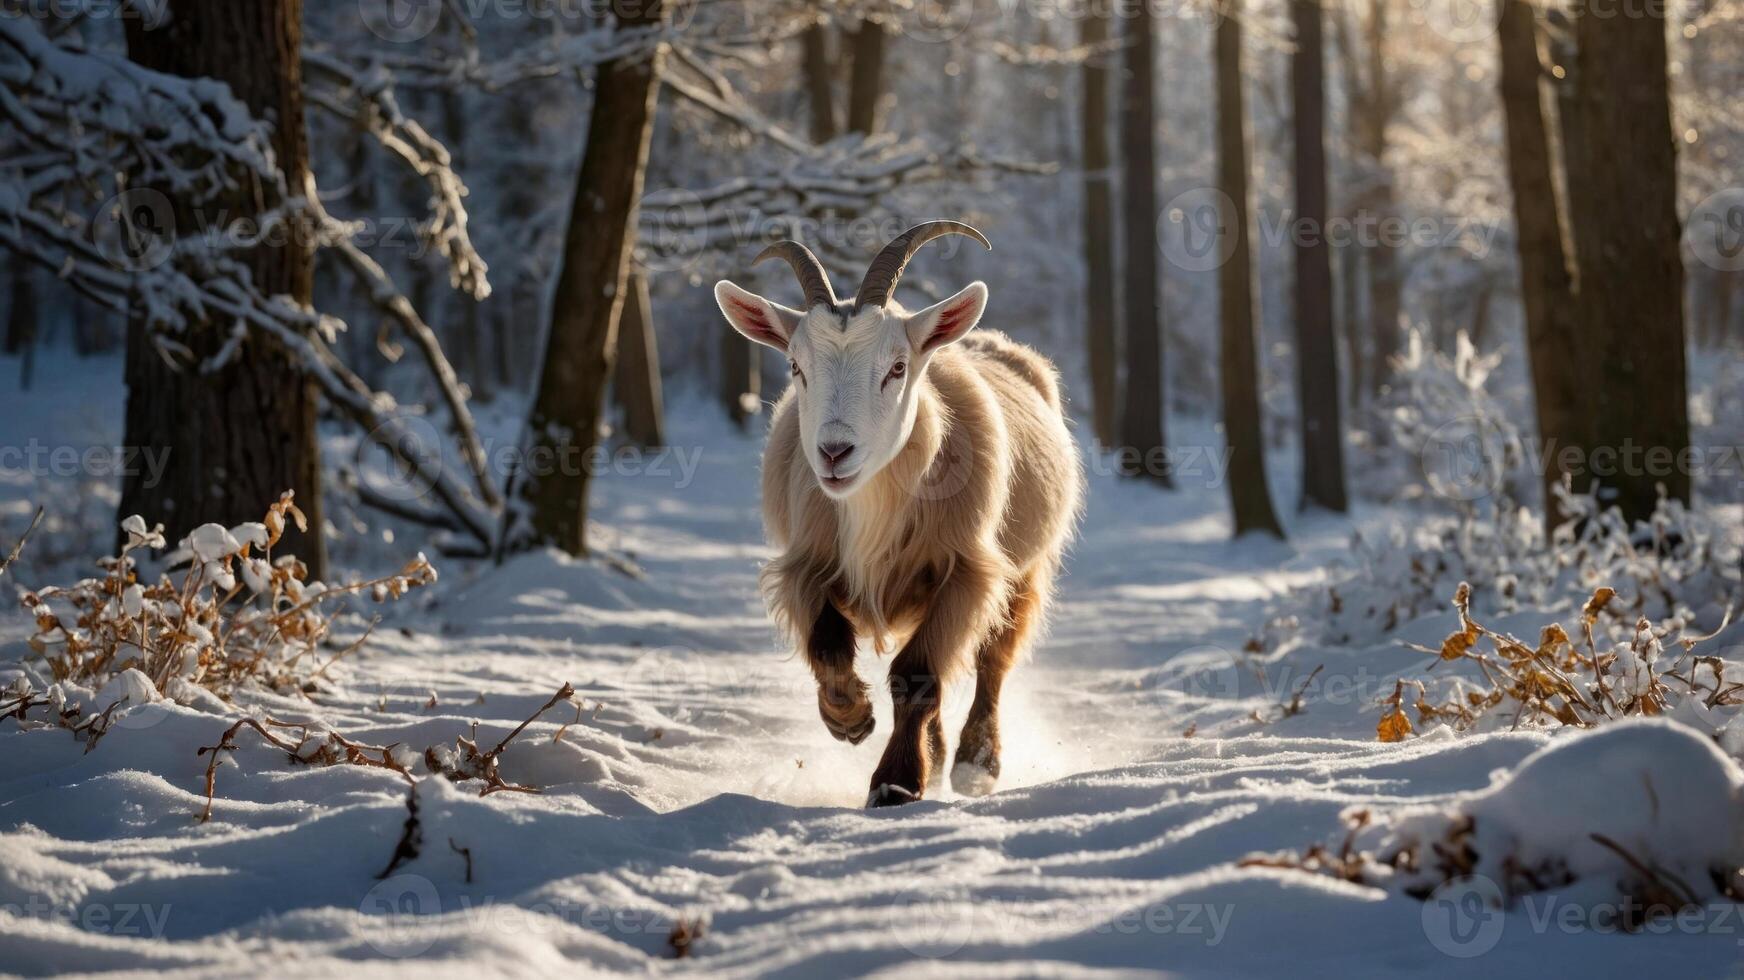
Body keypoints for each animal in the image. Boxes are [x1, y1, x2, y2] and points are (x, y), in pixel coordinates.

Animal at [714, 221, 1083, 807]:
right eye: (796, 366)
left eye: (896, 367)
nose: (834, 452)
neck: (871, 503)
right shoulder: (807, 561)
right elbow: (827, 640)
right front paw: (848, 716)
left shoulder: (966, 570)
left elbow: (919, 675)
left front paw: (895, 782)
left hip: (1027, 567)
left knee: (994, 657)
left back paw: (975, 763)